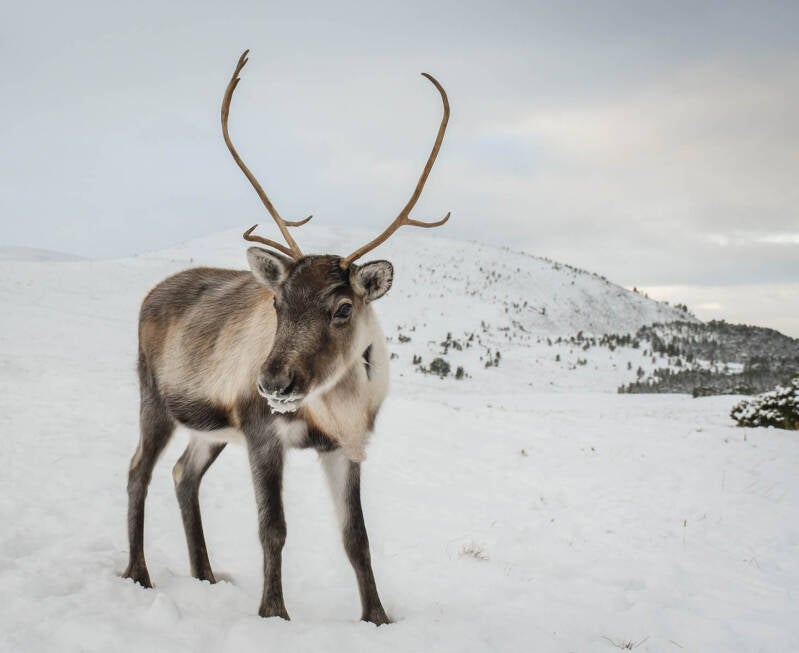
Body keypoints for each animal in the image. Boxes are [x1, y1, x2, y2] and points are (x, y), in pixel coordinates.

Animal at [122, 50, 451, 625]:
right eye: (278, 302)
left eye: (343, 307)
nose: (273, 382)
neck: (333, 408)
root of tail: (150, 294)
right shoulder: (262, 434)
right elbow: (272, 528)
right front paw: (273, 612)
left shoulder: (343, 447)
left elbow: (357, 538)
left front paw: (377, 618)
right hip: (155, 399)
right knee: (139, 469)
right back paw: (138, 574)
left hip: (211, 428)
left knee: (184, 473)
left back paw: (205, 575)